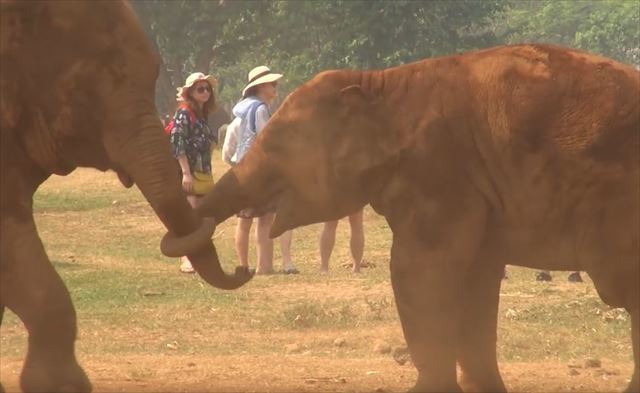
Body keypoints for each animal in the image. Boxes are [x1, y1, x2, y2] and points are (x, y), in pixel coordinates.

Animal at [180, 44, 640, 390]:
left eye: (275, 147)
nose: (242, 270)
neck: (382, 83)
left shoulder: (438, 171)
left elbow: (417, 271)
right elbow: (476, 281)